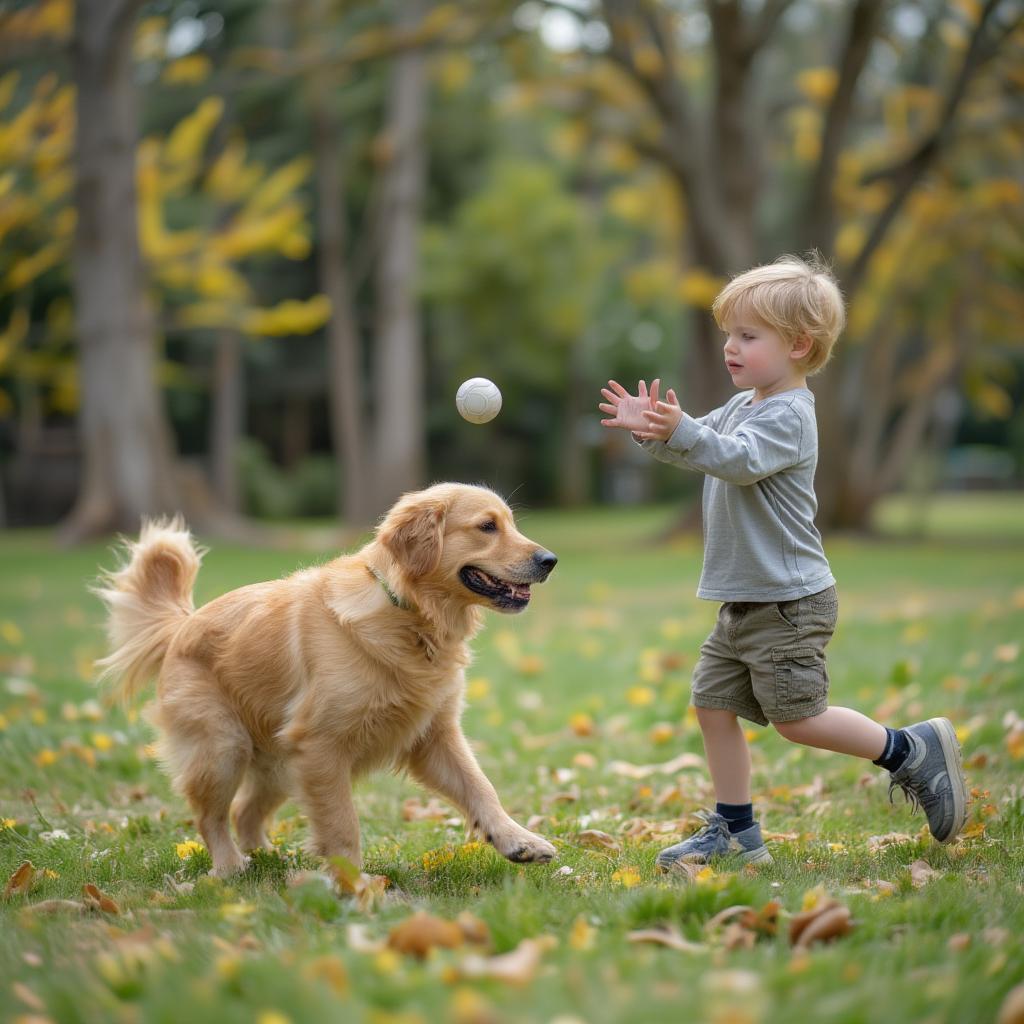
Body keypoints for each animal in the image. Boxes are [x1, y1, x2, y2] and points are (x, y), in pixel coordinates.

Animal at [94, 483, 561, 876]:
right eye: (487, 526)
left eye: (511, 524)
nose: (550, 561)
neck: (409, 616)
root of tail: (183, 625)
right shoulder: (322, 748)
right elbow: (342, 825)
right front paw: (353, 886)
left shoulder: (434, 736)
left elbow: (481, 788)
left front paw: (518, 841)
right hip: (223, 747)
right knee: (211, 816)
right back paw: (229, 868)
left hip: (279, 766)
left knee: (244, 811)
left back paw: (267, 858)